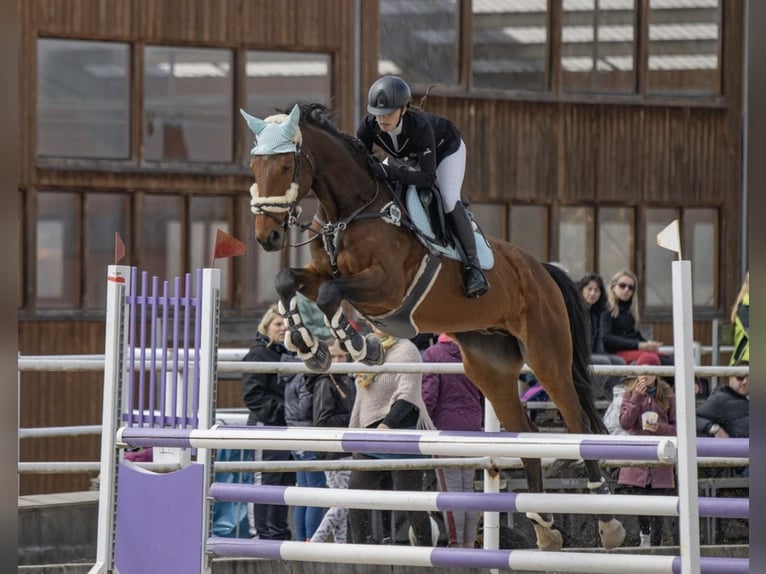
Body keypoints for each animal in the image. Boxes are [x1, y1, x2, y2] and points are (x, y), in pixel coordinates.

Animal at [243, 103, 628, 552]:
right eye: (254, 165)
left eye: (286, 165)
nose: (267, 236)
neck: (352, 211)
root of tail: (542, 270)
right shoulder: (323, 272)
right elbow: (287, 280)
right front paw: (309, 347)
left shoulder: (385, 286)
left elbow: (329, 296)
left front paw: (361, 347)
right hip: (490, 368)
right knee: (527, 432)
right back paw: (543, 526)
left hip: (547, 355)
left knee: (577, 424)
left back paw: (607, 521)